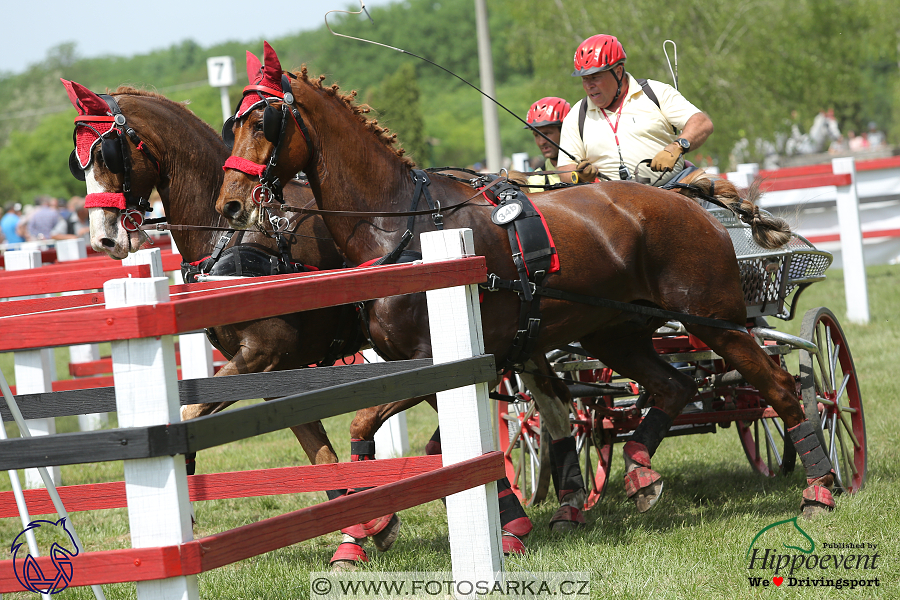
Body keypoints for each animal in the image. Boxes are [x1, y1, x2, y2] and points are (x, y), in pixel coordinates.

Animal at [66, 78, 408, 564]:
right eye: (78, 160)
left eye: (108, 153)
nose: (102, 238)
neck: (228, 235)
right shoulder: (275, 371)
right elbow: (320, 455)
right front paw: (365, 525)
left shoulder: (262, 354)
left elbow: (188, 413)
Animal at [214, 43, 840, 520]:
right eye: (231, 124)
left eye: (264, 122)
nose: (231, 204)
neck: (401, 223)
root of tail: (681, 196)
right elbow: (451, 446)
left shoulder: (436, 360)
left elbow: (376, 425)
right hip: (615, 332)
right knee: (674, 387)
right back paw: (641, 473)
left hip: (715, 321)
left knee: (780, 388)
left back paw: (820, 486)